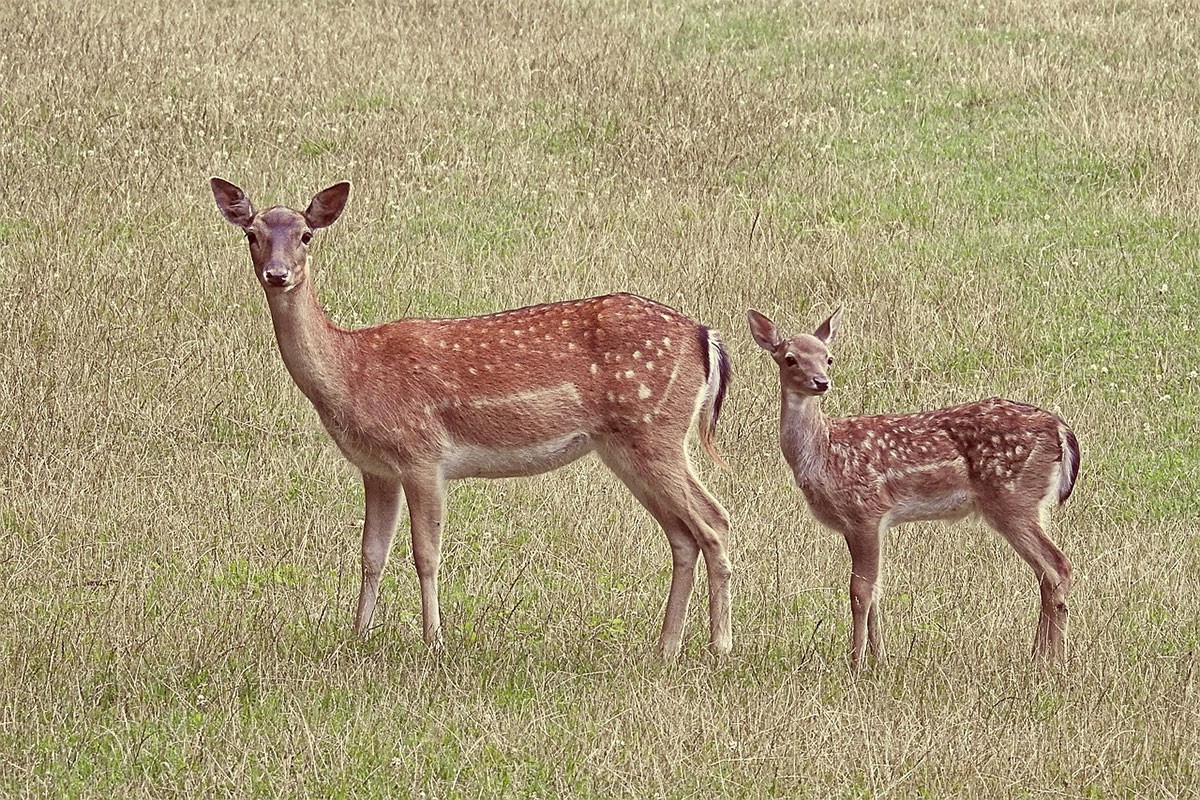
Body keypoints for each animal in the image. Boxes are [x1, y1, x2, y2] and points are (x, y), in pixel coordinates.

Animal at [212, 176, 734, 657]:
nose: (277, 274)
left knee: (715, 520)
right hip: (626, 445)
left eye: (306, 235)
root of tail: (705, 337)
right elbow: (371, 553)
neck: (353, 371)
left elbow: (426, 553)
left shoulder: (422, 454)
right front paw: (356, 637)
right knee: (683, 535)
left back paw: (719, 646)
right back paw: (665, 648)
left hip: (657, 429)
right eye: (252, 234)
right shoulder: (376, 468)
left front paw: (434, 642)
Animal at [748, 309, 1080, 671]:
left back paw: (1055, 660)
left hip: (1013, 498)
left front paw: (856, 663)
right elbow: (875, 589)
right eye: (790, 359)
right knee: (1046, 574)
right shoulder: (859, 525)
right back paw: (1038, 656)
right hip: (1025, 503)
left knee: (1058, 566)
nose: (821, 381)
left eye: (829, 358)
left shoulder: (866, 511)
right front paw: (880, 659)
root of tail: (1059, 428)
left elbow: (859, 591)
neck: (823, 452)